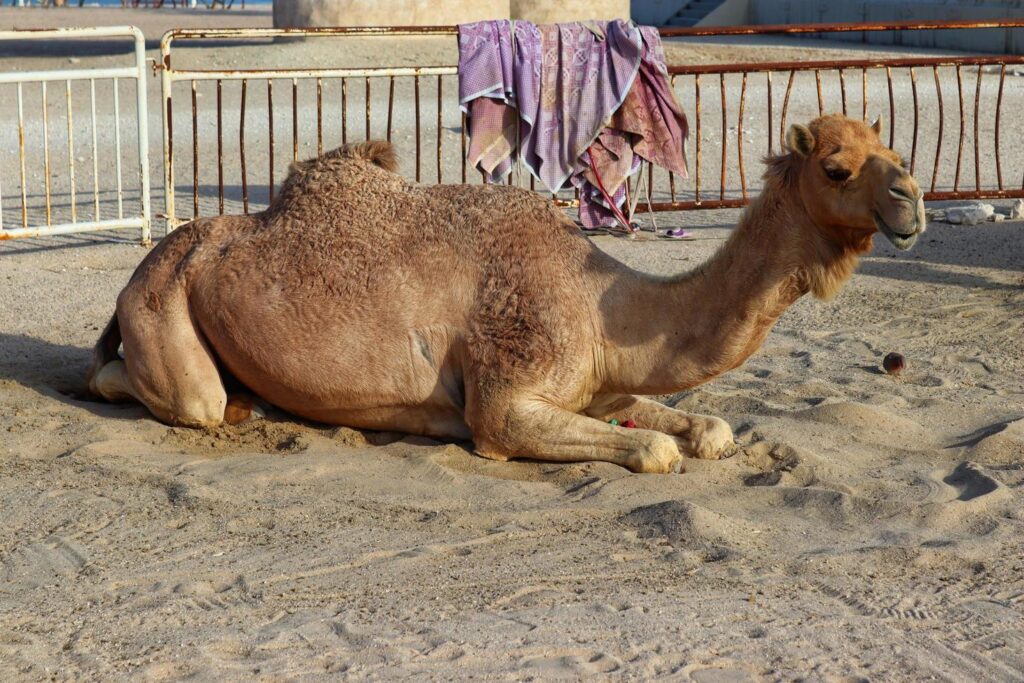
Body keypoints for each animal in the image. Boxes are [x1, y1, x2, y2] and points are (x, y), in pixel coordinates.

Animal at [87, 114, 924, 474]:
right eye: (837, 168)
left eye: (895, 148)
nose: (912, 201)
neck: (602, 306)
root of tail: (150, 264)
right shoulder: (506, 398)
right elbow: (655, 449)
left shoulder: (599, 384)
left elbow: (706, 430)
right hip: (162, 306)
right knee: (157, 389)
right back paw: (225, 404)